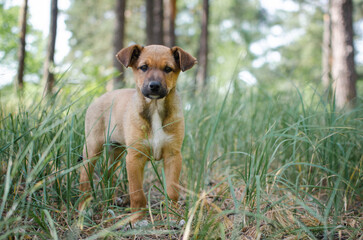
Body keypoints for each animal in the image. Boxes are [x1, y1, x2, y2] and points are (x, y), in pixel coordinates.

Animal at [79, 44, 198, 222]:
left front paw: (173, 216)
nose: (154, 86)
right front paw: (137, 219)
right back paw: (83, 209)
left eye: (168, 69)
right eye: (143, 67)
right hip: (92, 148)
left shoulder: (173, 155)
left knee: (109, 173)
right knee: (84, 177)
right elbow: (136, 192)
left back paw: (111, 200)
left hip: (116, 150)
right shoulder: (135, 157)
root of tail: (98, 99)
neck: (155, 108)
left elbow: (172, 191)